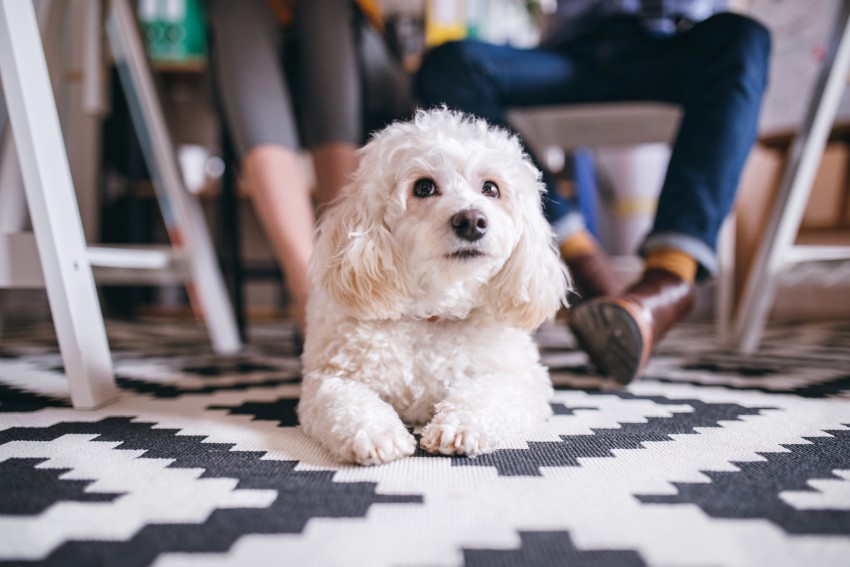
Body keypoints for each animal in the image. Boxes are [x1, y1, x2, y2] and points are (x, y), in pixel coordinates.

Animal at [298, 107, 568, 466]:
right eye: (424, 187)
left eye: (491, 188)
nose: (472, 221)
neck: (435, 312)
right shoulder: (330, 379)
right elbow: (347, 402)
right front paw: (375, 433)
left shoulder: (522, 379)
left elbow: (488, 394)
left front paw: (460, 426)